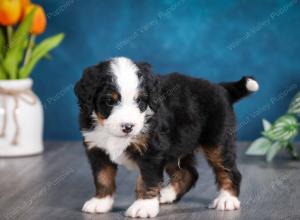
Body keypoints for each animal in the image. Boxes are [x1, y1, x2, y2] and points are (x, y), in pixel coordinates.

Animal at [74, 56, 258, 218]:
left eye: (139, 100)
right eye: (109, 101)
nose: (128, 127)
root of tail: (221, 88)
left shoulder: (151, 151)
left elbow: (147, 179)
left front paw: (143, 206)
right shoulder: (97, 149)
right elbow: (103, 177)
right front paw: (101, 202)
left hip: (218, 141)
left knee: (228, 170)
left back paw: (227, 199)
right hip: (176, 146)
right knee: (188, 173)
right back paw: (166, 194)